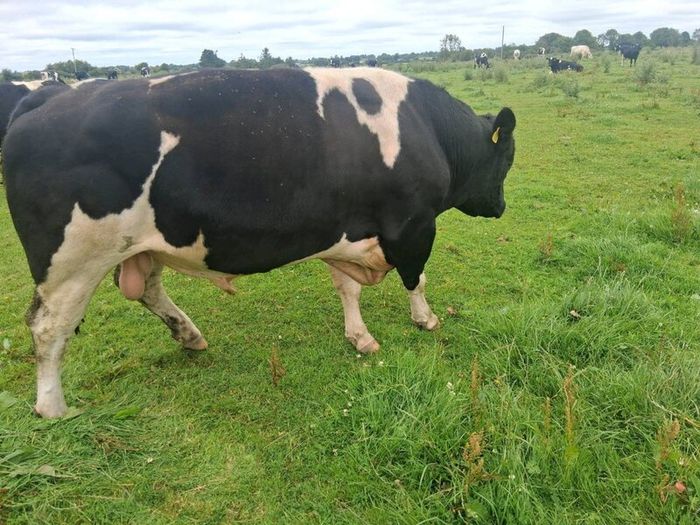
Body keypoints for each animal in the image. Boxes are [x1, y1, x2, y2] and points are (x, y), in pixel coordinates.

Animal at [3, 68, 516, 418]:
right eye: (507, 158)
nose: (502, 206)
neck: (426, 128)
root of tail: (49, 96)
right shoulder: (413, 225)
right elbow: (418, 278)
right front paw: (425, 319)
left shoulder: (346, 228)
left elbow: (347, 288)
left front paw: (360, 336)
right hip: (72, 260)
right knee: (48, 326)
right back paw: (53, 408)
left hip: (137, 245)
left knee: (146, 288)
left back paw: (189, 334)